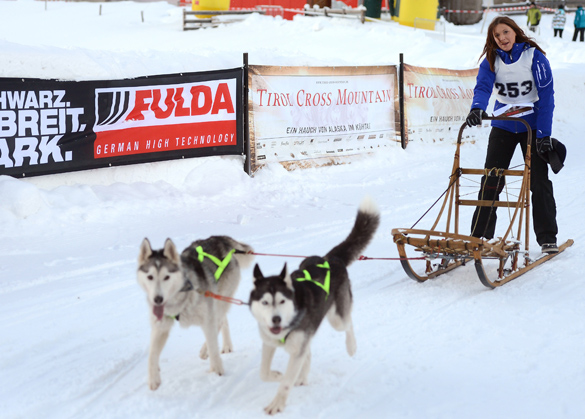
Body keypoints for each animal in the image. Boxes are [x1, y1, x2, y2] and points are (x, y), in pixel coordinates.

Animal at [139, 236, 256, 390]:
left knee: (219, 322)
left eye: (167, 277)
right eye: (150, 277)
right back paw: (226, 346)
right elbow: (152, 354)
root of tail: (220, 239)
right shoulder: (161, 326)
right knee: (222, 321)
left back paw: (207, 350)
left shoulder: (207, 317)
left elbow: (213, 344)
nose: (158, 299)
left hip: (219, 299)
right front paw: (154, 378)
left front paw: (217, 372)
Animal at [250, 199, 378, 416]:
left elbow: (286, 382)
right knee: (309, 351)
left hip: (337, 319)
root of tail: (329, 259)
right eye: (265, 302)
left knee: (348, 323)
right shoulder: (269, 343)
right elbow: (263, 373)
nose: (276, 319)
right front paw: (277, 375)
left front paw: (278, 403)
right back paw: (302, 375)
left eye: (282, 301)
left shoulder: (296, 349)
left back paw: (351, 346)